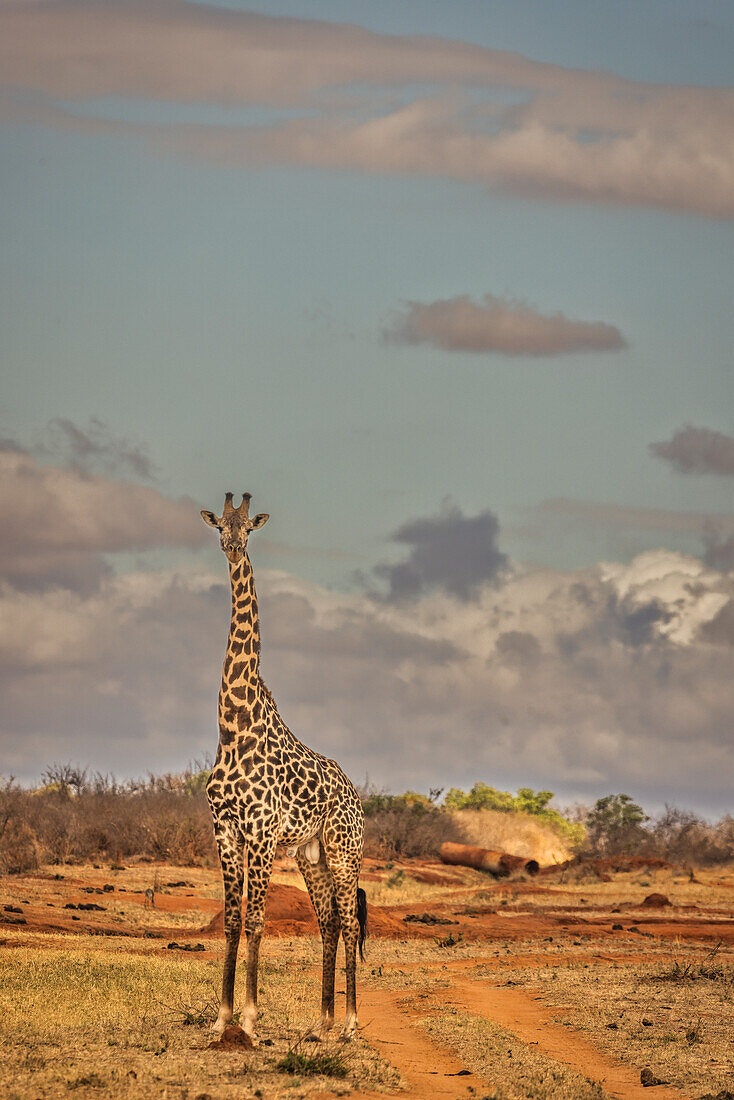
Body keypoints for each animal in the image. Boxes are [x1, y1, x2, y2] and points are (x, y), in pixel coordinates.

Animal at [201, 495, 367, 1042]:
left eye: (248, 528)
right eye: (219, 525)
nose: (232, 547)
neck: (233, 727)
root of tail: (356, 794)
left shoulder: (261, 832)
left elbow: (256, 922)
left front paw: (251, 1022)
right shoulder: (226, 829)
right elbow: (232, 922)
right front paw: (222, 1020)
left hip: (344, 850)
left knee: (350, 923)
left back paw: (350, 1026)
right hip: (311, 855)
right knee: (329, 922)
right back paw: (321, 1023)